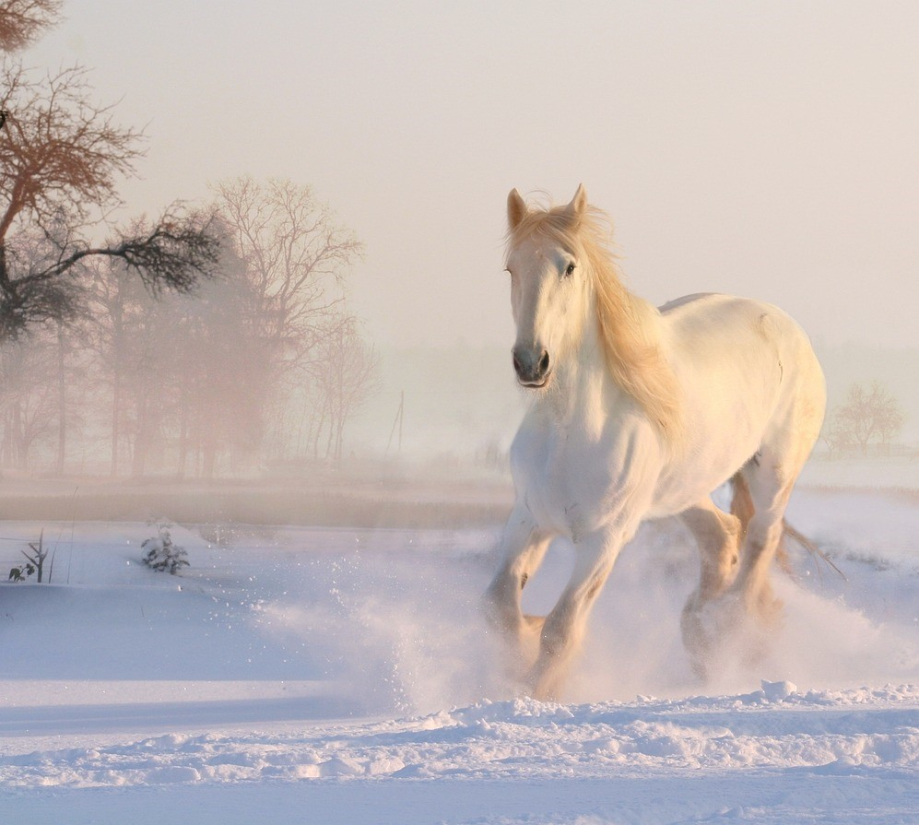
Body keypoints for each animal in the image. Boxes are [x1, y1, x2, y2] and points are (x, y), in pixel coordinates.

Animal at [488, 183, 828, 700]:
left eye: (569, 266)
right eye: (512, 268)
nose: (531, 362)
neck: (571, 432)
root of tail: (786, 325)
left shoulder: (605, 539)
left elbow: (561, 629)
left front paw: (536, 689)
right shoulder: (528, 519)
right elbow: (500, 608)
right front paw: (518, 654)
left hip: (773, 472)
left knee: (759, 542)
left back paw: (728, 632)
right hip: (684, 490)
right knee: (722, 537)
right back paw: (700, 635)